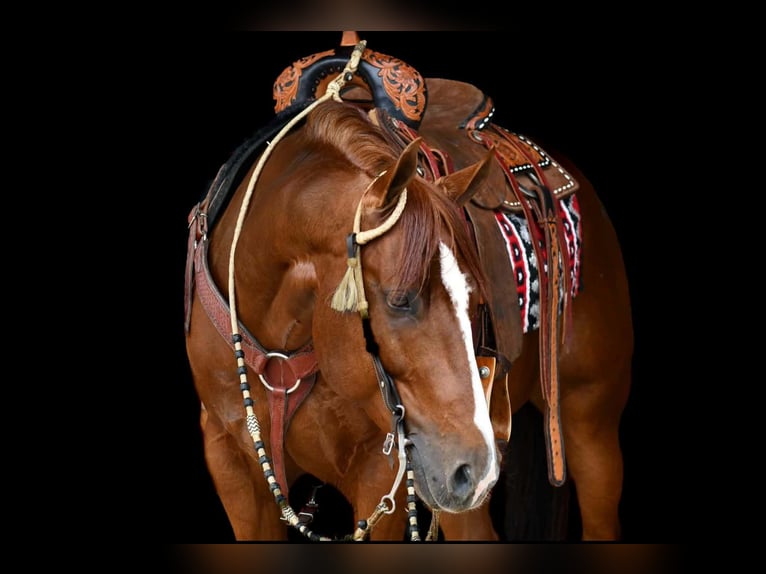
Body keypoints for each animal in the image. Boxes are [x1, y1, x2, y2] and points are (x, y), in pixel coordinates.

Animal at [183, 35, 632, 541]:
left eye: (476, 304)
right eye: (400, 301)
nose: (474, 469)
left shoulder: (382, 472)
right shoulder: (232, 464)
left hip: (587, 424)